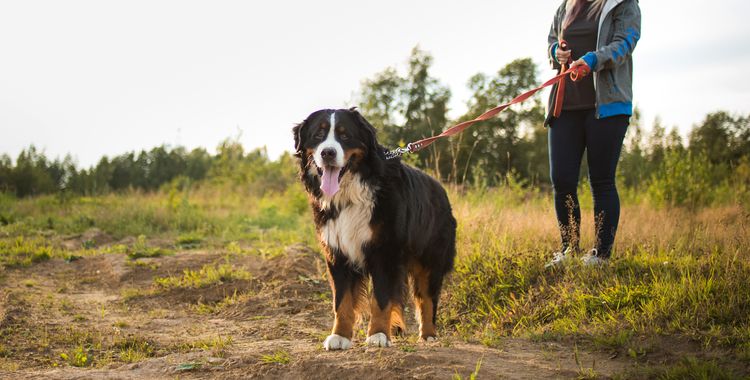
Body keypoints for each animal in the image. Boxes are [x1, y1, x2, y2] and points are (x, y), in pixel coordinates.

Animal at [294, 107, 458, 350]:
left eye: (344, 135)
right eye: (318, 135)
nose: (328, 153)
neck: (350, 194)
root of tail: (440, 188)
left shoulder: (385, 251)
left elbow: (380, 299)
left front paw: (378, 334)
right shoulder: (337, 252)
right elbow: (341, 301)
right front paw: (340, 336)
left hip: (430, 258)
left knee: (427, 298)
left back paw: (428, 335)